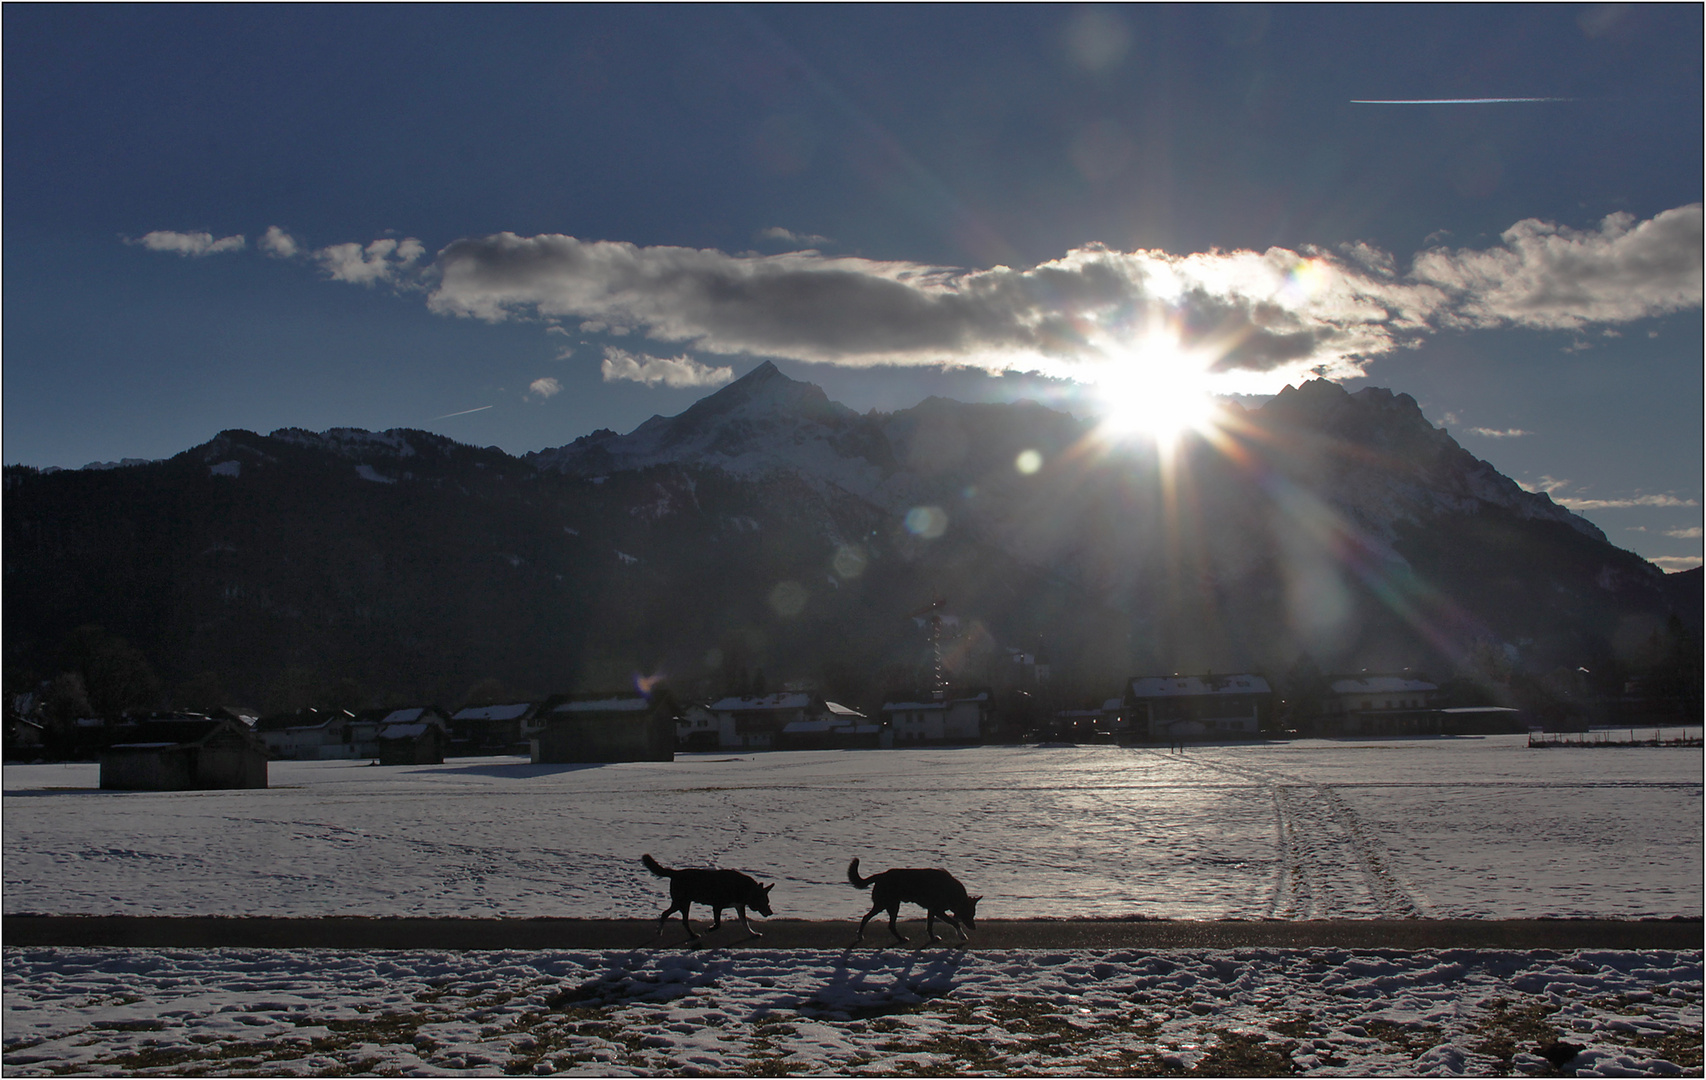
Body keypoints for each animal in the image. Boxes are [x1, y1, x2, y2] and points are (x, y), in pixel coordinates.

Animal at [641, 849, 774, 934]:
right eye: (765, 902)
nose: (771, 912)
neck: (745, 890)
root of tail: (676, 873)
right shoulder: (717, 906)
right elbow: (718, 924)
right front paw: (708, 929)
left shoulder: (739, 907)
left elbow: (745, 923)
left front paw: (753, 934)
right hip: (680, 902)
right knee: (665, 914)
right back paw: (660, 931)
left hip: (685, 903)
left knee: (683, 921)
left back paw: (693, 935)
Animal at [846, 856, 982, 941]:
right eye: (969, 914)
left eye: (974, 915)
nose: (974, 928)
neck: (953, 893)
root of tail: (881, 875)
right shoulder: (938, 911)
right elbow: (955, 922)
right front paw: (962, 935)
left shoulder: (931, 910)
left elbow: (929, 926)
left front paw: (933, 938)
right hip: (888, 905)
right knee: (872, 919)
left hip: (888, 905)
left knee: (882, 922)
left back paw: (899, 939)